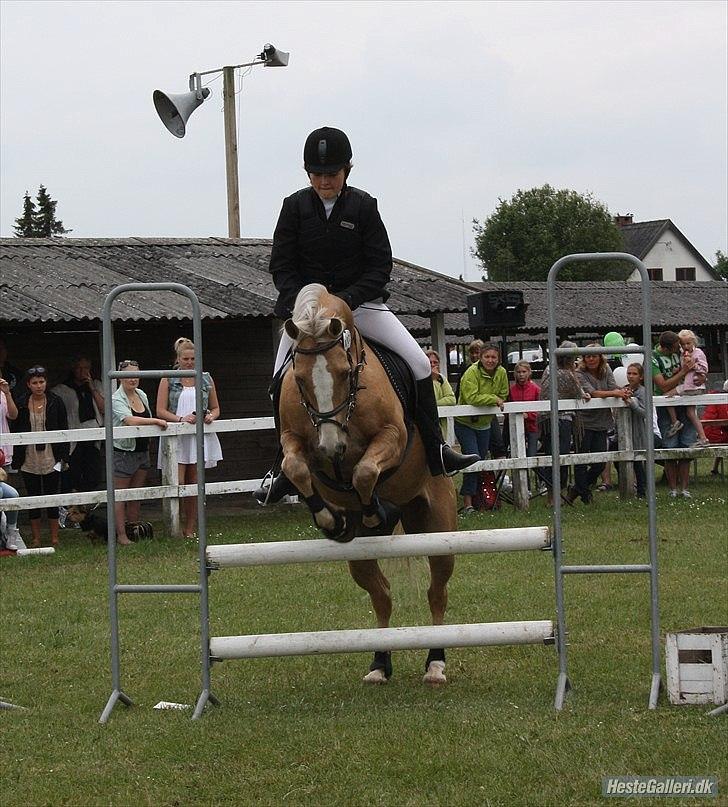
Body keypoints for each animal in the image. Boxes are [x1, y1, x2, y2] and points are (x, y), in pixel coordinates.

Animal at [278, 284, 456, 680]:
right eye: (299, 380)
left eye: (346, 373)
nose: (331, 447)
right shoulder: (294, 440)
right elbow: (295, 468)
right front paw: (330, 519)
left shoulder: (392, 437)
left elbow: (364, 471)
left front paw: (377, 511)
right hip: (360, 557)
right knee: (382, 595)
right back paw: (379, 663)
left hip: (438, 528)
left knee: (436, 592)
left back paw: (435, 663)